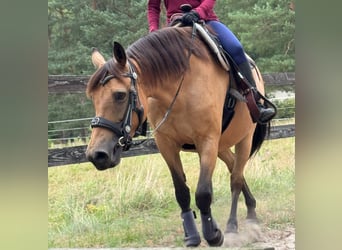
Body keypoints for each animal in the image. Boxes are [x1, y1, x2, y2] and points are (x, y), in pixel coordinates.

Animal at [85, 25, 270, 246]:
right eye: (92, 97)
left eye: (119, 95)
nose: (97, 155)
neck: (180, 88)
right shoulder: (167, 145)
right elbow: (182, 192)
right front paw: (192, 235)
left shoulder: (207, 141)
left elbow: (203, 193)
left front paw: (213, 234)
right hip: (222, 145)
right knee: (234, 167)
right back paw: (251, 209)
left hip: (244, 138)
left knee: (236, 178)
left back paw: (236, 226)